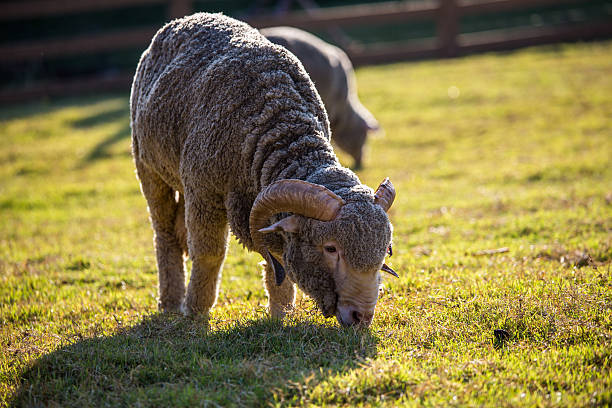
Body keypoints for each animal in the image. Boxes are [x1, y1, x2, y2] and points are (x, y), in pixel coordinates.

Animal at [130, 11, 396, 328]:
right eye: (330, 248)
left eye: (385, 251)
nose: (361, 317)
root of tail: (188, 18)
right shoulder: (204, 190)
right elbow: (209, 254)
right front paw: (196, 311)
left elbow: (276, 263)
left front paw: (281, 313)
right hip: (149, 168)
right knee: (164, 235)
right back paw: (170, 301)